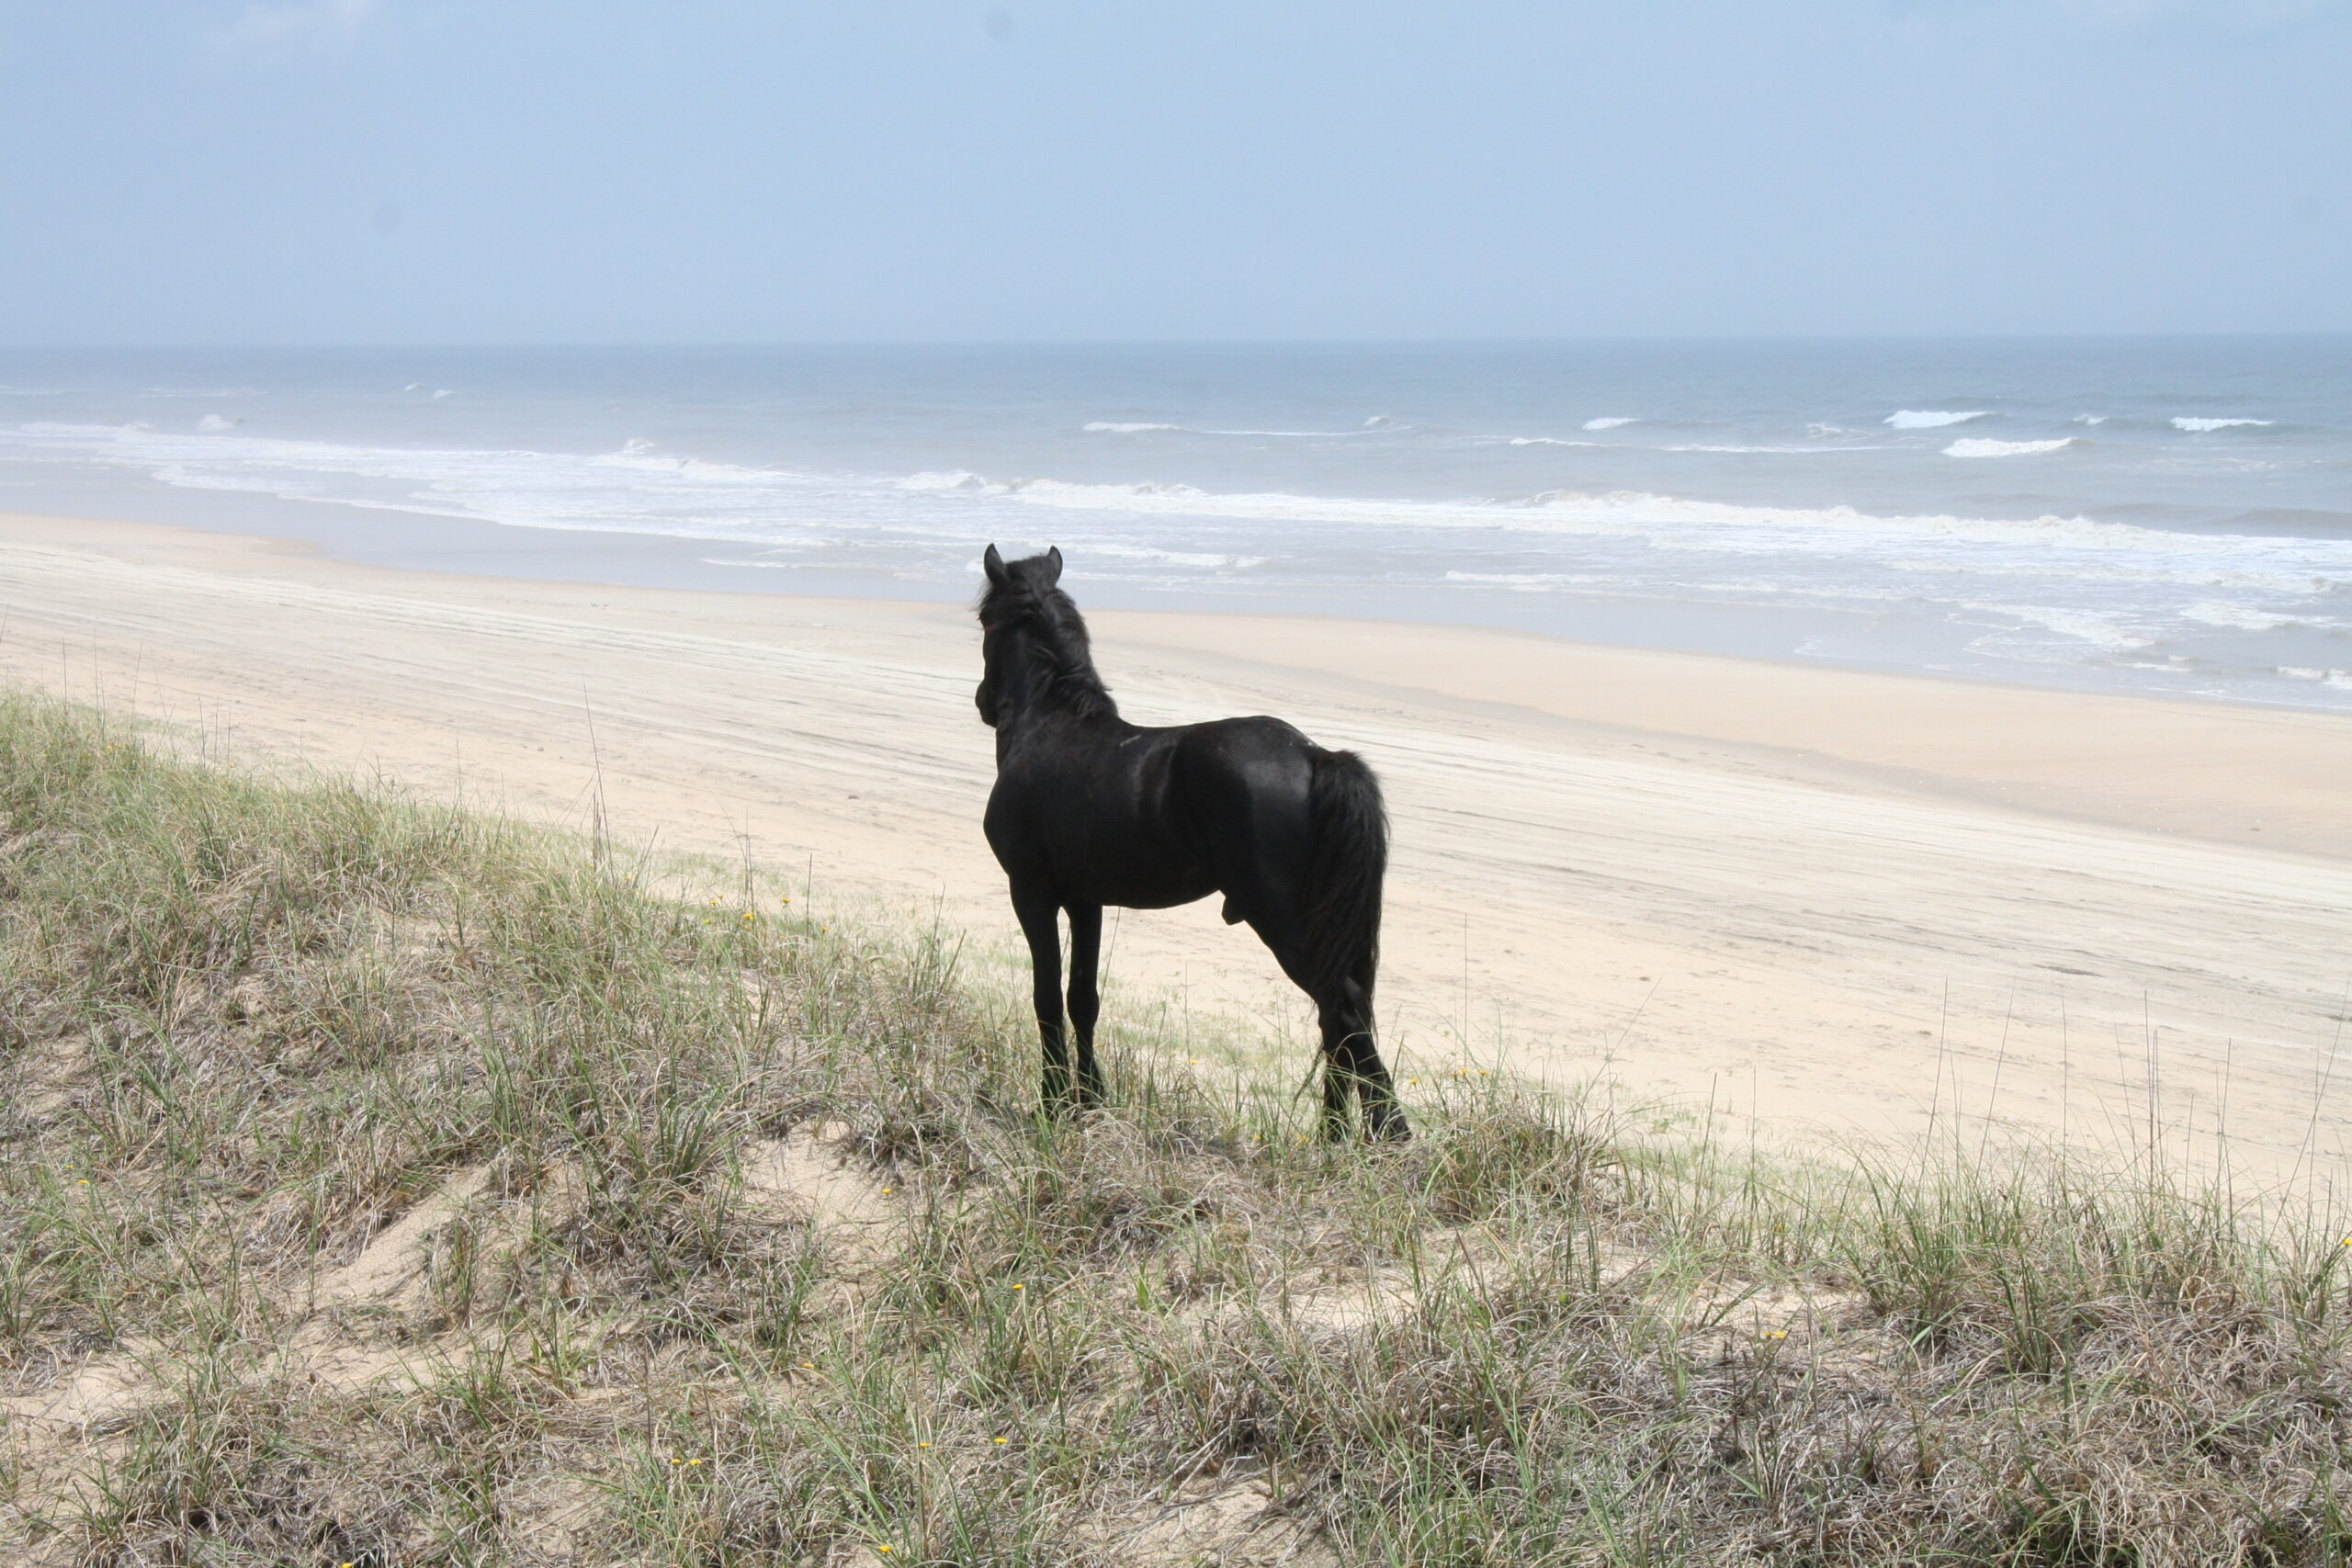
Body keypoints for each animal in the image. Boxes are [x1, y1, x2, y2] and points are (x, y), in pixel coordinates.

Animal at [973, 544, 1408, 1140]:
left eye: (983, 622)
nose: (983, 702)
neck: (1050, 727)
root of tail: (1313, 755)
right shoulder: (1086, 902)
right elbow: (1082, 997)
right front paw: (1090, 1100)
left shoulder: (1032, 894)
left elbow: (1045, 998)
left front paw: (1053, 1104)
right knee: (1339, 1018)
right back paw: (1335, 1136)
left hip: (1285, 922)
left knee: (1343, 1011)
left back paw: (1383, 1137)